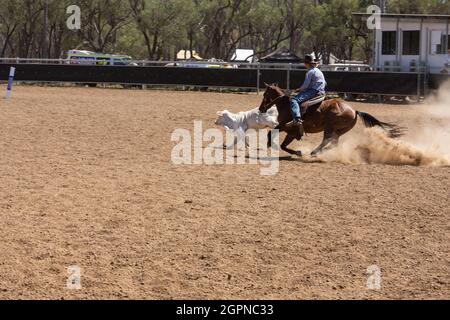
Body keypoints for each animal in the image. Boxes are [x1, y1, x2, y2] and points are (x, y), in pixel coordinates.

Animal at [260, 83, 404, 157]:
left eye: (265, 95)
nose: (261, 108)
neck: (286, 105)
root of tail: (354, 111)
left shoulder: (283, 126)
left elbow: (270, 134)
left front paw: (268, 146)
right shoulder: (291, 132)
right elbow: (283, 145)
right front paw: (298, 152)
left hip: (329, 126)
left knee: (327, 140)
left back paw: (315, 152)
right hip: (339, 130)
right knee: (334, 142)